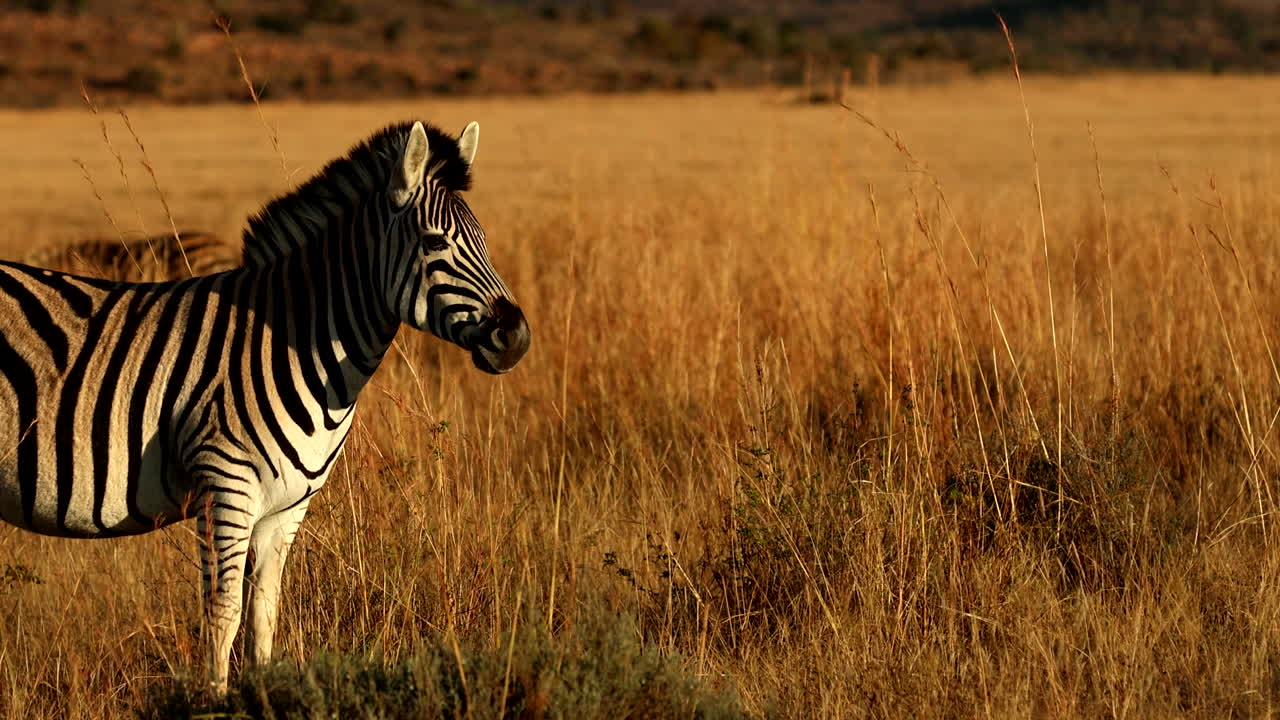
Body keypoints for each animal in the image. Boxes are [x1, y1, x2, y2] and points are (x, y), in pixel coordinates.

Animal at [0, 120, 530, 692]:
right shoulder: (223, 486)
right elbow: (222, 615)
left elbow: (264, 615)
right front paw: (211, 700)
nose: (516, 337)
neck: (300, 344)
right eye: (435, 243)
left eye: (483, 239)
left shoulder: (287, 507)